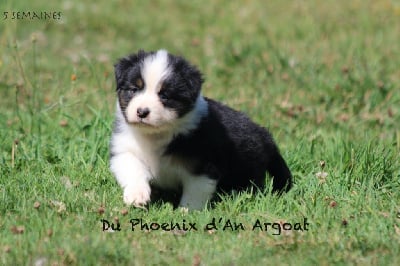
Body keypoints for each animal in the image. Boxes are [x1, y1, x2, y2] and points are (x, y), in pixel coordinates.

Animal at [111, 48, 292, 209]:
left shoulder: (203, 165)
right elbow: (132, 167)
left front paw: (186, 212)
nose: (142, 112)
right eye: (134, 90)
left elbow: (195, 192)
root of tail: (265, 135)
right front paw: (136, 195)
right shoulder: (125, 148)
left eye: (165, 95)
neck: (157, 135)